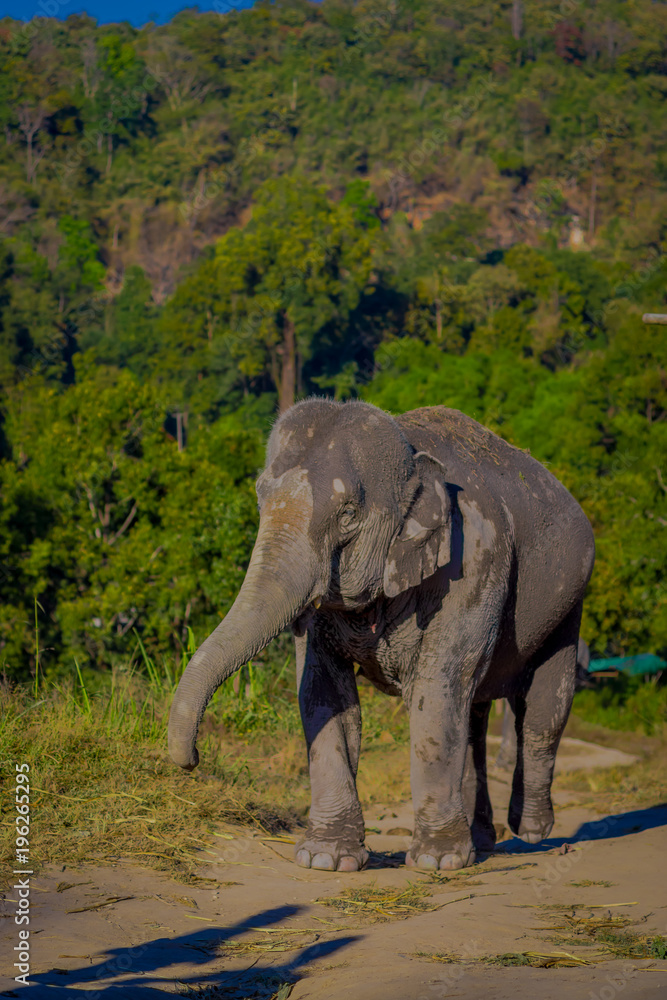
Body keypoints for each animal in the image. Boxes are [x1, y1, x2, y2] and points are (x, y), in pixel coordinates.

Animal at [168, 399, 595, 872]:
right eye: (261, 498)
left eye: (348, 515)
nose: (193, 760)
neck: (409, 449)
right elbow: (323, 694)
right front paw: (325, 858)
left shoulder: (475, 560)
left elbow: (437, 688)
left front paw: (435, 863)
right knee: (474, 717)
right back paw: (482, 845)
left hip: (568, 603)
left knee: (542, 709)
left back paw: (531, 831)